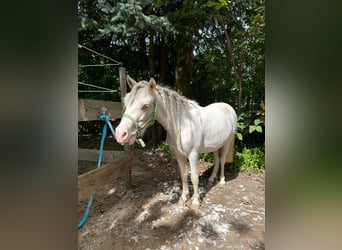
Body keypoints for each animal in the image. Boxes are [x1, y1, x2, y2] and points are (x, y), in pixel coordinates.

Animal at [116, 75, 236, 207]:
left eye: (145, 106)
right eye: (126, 103)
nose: (120, 134)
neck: (182, 124)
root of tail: (228, 107)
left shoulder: (193, 155)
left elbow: (194, 177)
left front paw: (195, 201)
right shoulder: (179, 155)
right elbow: (183, 175)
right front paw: (184, 197)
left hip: (227, 143)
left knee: (222, 160)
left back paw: (222, 181)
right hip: (215, 146)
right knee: (216, 159)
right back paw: (211, 179)